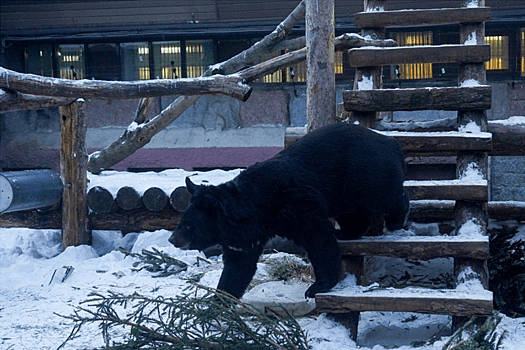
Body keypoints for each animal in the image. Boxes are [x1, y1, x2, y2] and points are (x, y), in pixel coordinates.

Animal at [170, 123, 408, 298]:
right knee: (353, 214)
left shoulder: (295, 203)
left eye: (188, 224)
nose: (173, 239)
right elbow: (238, 267)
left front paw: (317, 286)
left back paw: (395, 220)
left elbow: (318, 238)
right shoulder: (245, 237)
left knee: (387, 196)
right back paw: (347, 232)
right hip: (344, 191)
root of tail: (390, 140)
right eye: (183, 220)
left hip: (365, 172)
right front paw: (219, 301)